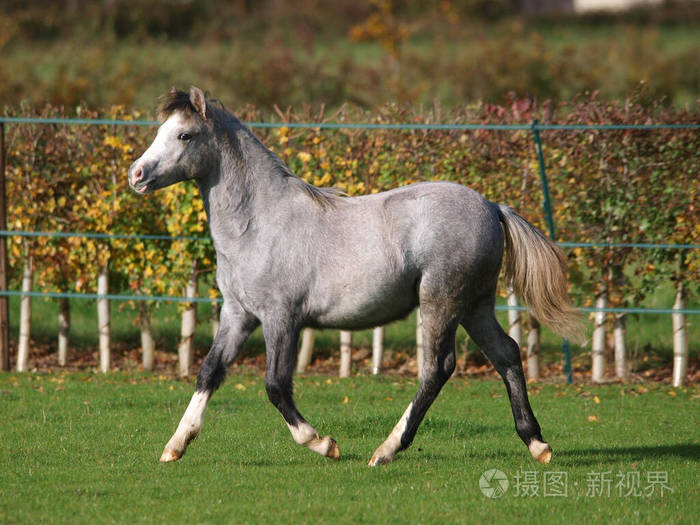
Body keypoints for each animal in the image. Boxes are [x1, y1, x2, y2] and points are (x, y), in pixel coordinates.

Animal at [129, 87, 584, 466]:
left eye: (185, 135)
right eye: (162, 130)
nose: (136, 174)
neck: (259, 222)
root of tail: (491, 206)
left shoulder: (281, 318)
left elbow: (276, 385)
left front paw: (323, 443)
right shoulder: (238, 315)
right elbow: (209, 371)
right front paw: (175, 446)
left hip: (441, 302)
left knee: (437, 369)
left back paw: (386, 450)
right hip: (475, 305)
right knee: (506, 354)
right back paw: (537, 444)